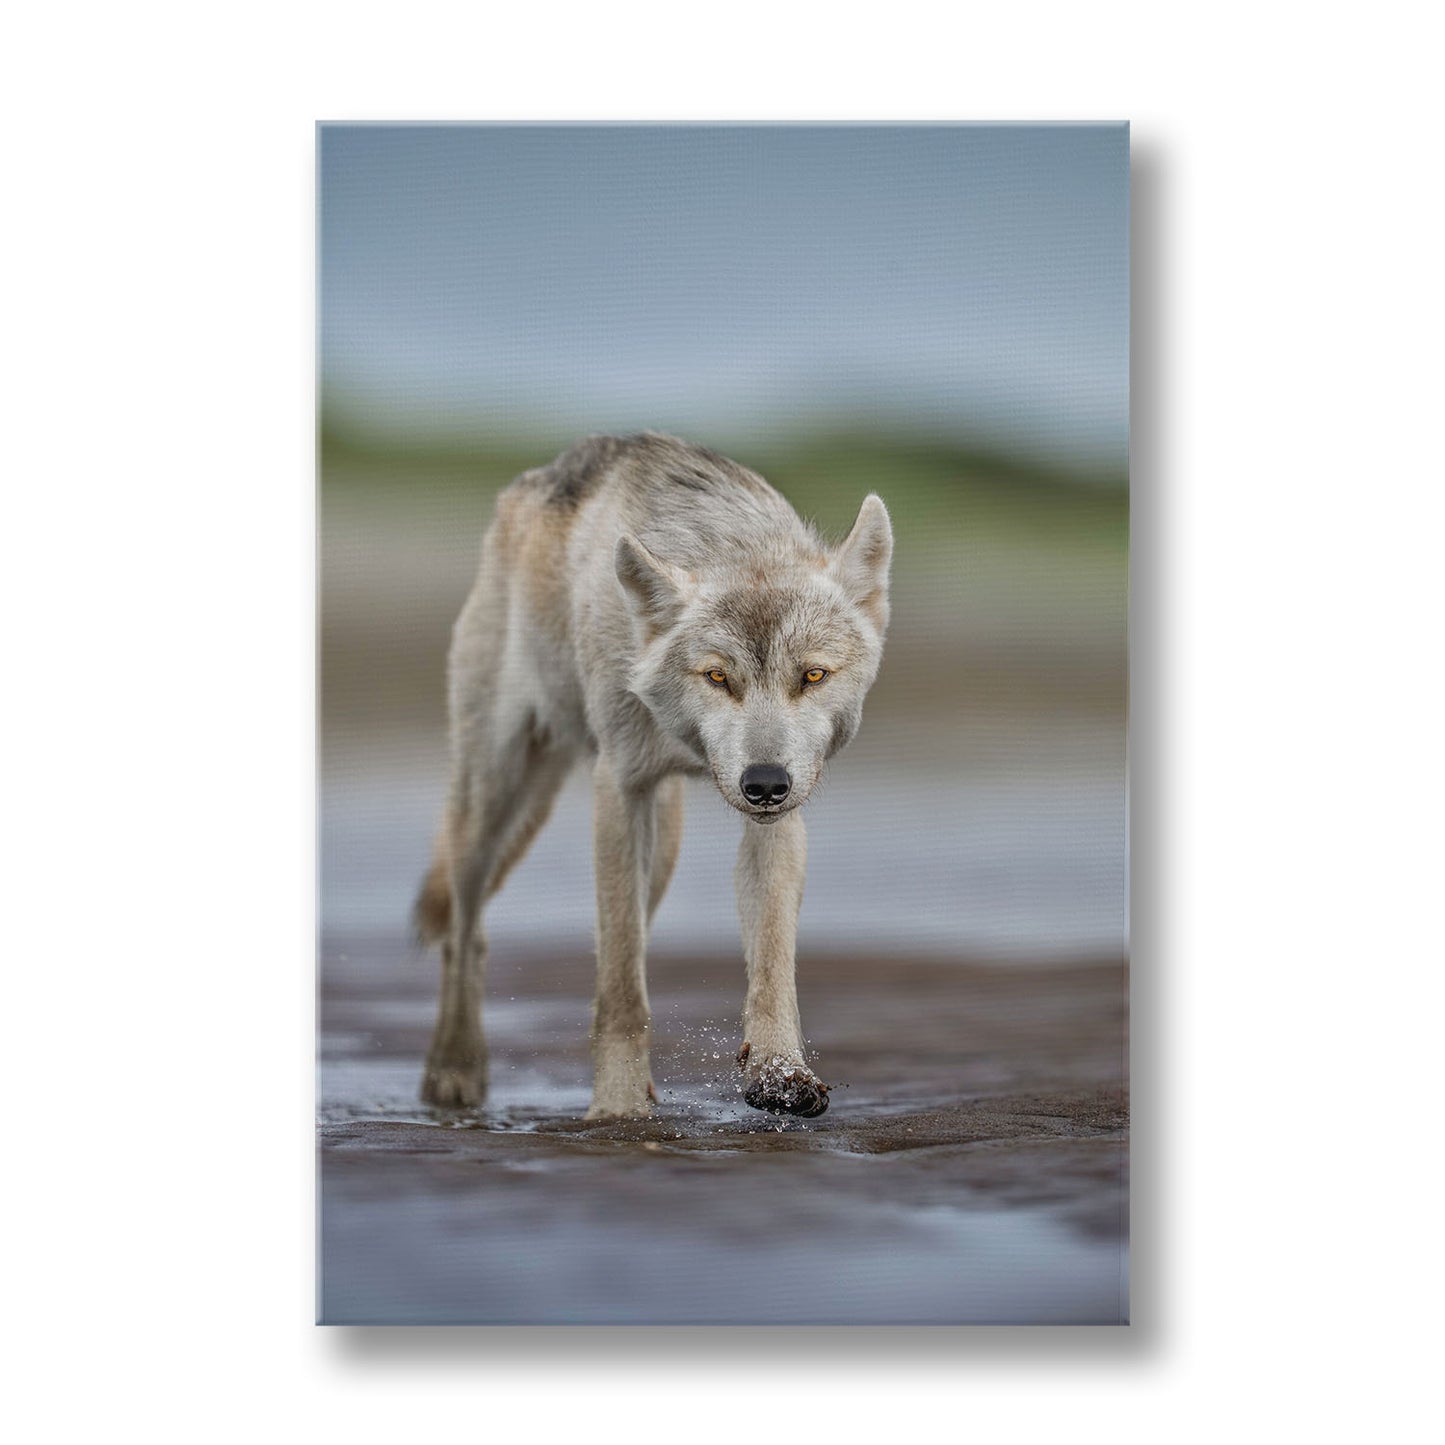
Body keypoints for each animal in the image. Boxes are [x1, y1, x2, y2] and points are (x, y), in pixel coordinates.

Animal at [411, 433, 892, 1119]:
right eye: (717, 676)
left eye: (813, 675)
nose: (763, 783)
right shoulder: (619, 789)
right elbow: (620, 992)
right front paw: (617, 1111)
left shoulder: (778, 819)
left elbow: (771, 964)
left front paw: (778, 1074)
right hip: (492, 802)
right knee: (465, 932)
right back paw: (454, 1071)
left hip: (661, 845)